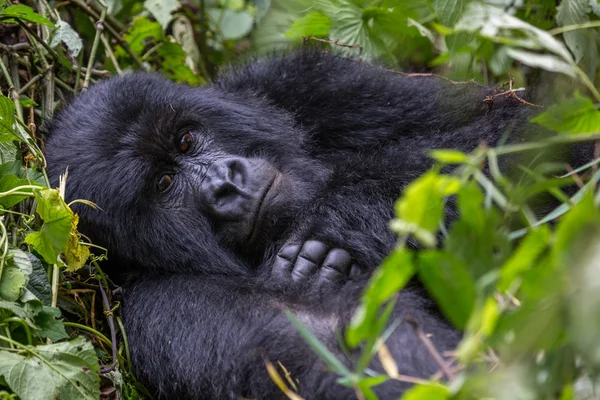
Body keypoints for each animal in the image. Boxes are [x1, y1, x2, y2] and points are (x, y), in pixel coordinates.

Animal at [43, 50, 568, 400]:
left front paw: (342, 219)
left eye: (186, 139)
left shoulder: (302, 81)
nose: (225, 184)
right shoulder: (163, 305)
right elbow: (344, 339)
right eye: (164, 184)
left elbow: (511, 127)